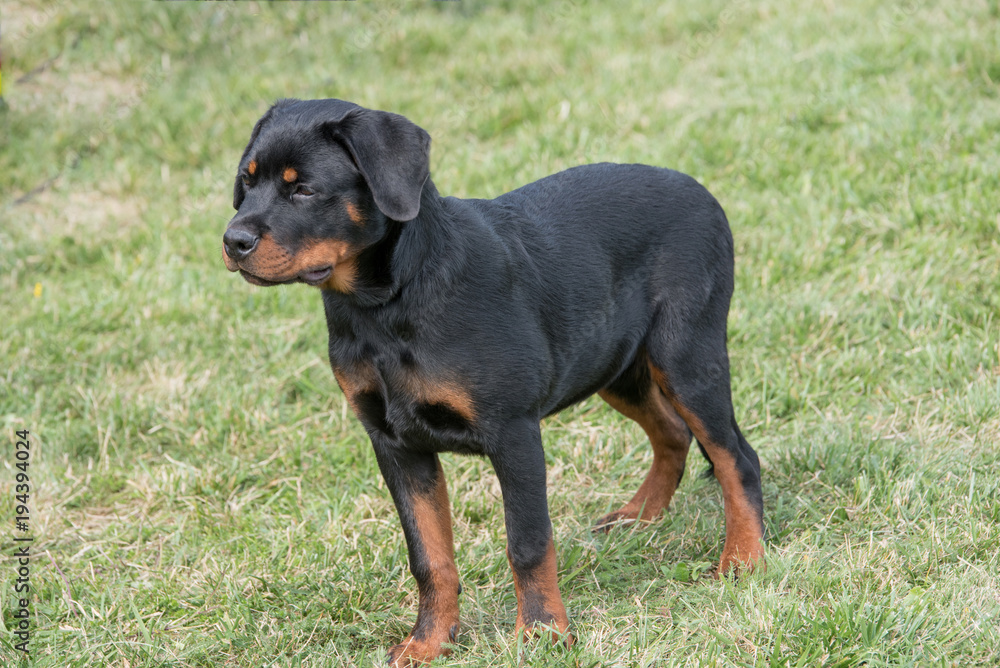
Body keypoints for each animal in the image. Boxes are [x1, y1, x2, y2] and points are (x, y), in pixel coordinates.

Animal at [221, 99, 764, 668]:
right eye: (246, 182)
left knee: (735, 456)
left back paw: (743, 559)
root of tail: (702, 191)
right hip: (615, 365)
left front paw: (544, 633)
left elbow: (528, 543)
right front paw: (429, 641)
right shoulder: (394, 443)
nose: (233, 241)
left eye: (304, 189)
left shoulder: (513, 431)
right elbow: (429, 556)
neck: (386, 306)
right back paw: (640, 517)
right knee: (672, 433)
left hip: (686, 357)